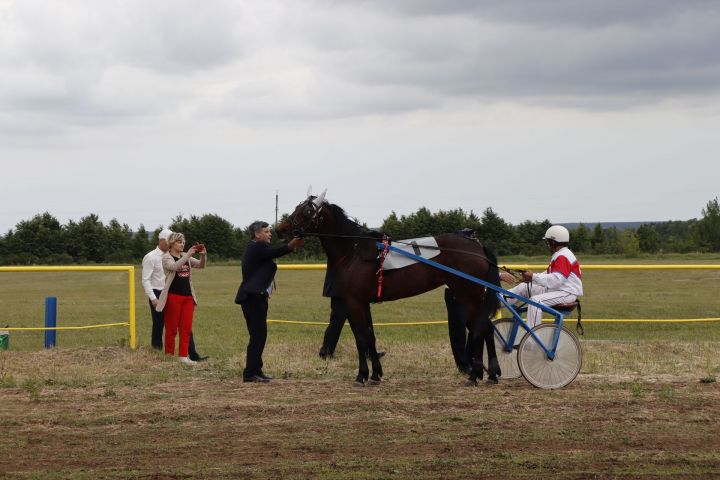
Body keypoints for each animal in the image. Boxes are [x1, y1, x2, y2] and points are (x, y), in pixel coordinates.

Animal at [276, 193, 500, 384]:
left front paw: (362, 375)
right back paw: (489, 374)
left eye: (306, 211)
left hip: (467, 296)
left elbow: (361, 339)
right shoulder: (363, 303)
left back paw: (477, 375)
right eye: (297, 207)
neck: (354, 252)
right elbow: (370, 338)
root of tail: (477, 247)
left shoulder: (354, 302)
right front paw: (375, 373)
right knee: (486, 329)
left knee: (482, 329)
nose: (281, 229)